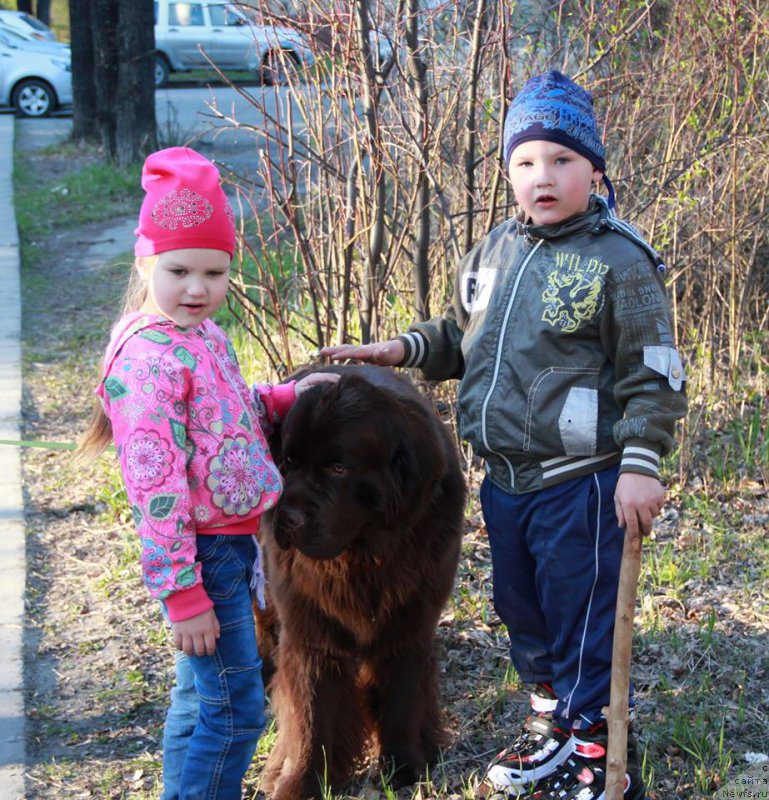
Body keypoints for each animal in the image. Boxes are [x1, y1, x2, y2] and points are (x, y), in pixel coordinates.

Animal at [260, 368, 462, 800]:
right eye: (287, 462)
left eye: (339, 468)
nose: (287, 517)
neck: (363, 555)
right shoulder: (310, 635)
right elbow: (311, 715)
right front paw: (301, 781)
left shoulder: (410, 626)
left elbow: (403, 697)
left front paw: (403, 767)